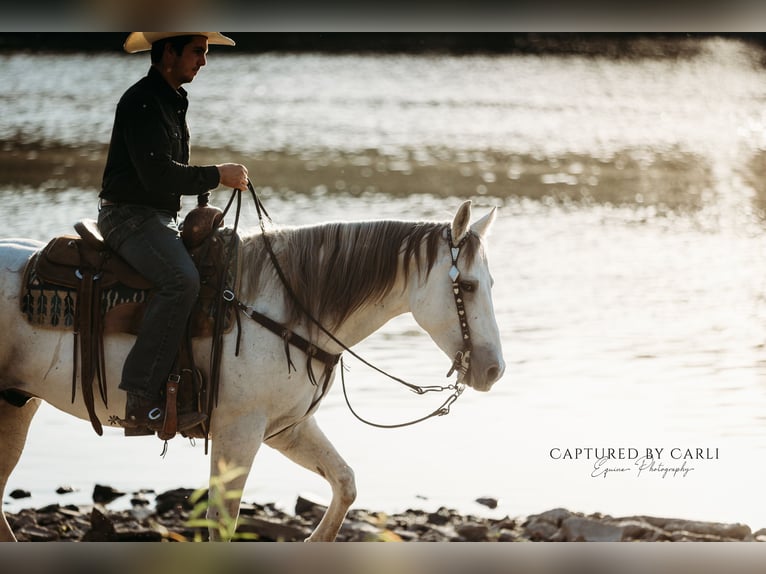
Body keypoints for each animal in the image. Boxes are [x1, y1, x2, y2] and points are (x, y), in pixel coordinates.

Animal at [0, 199, 504, 542]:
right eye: (468, 285)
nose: (494, 370)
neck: (282, 309)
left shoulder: (286, 429)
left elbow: (345, 484)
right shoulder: (237, 431)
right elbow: (223, 522)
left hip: (16, 406)